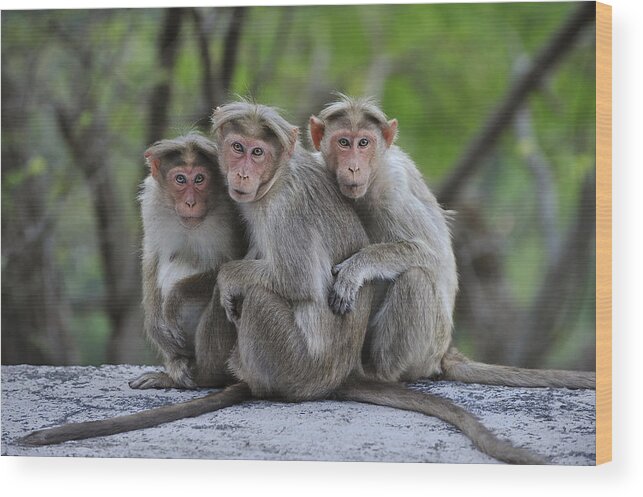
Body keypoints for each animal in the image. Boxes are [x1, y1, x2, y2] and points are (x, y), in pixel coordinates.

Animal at [128, 134, 247, 390]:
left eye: (200, 179)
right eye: (181, 179)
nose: (191, 202)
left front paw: (175, 299)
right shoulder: (151, 202)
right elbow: (152, 254)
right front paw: (155, 324)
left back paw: (206, 377)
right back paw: (173, 369)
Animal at [310, 93, 596, 388]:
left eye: (364, 143)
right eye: (344, 142)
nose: (354, 167)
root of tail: (444, 352)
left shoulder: (392, 192)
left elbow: (431, 255)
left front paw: (356, 269)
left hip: (427, 346)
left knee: (415, 278)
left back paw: (381, 373)